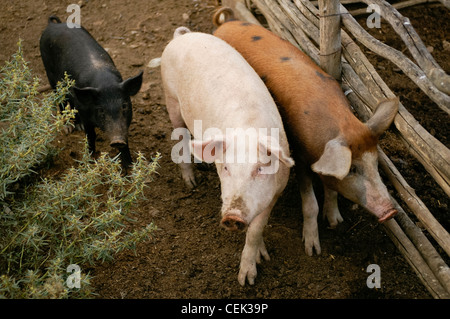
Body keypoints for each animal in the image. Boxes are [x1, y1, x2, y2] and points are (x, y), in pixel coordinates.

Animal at [40, 16, 143, 168]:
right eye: (101, 110)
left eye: (124, 106)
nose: (117, 140)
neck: (105, 82)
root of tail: (53, 25)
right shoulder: (85, 113)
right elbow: (90, 136)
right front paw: (89, 161)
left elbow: (125, 139)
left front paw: (130, 167)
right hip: (50, 75)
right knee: (60, 99)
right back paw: (69, 128)